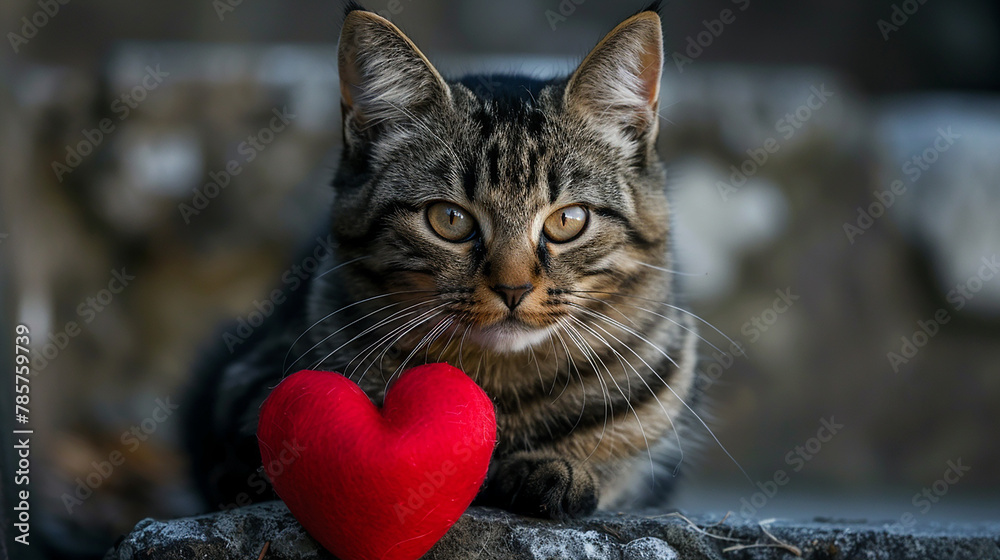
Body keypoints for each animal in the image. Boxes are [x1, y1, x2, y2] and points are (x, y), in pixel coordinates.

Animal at [188, 2, 704, 520]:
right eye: (450, 220)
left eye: (568, 220)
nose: (513, 288)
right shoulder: (241, 403)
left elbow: (621, 461)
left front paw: (557, 469)